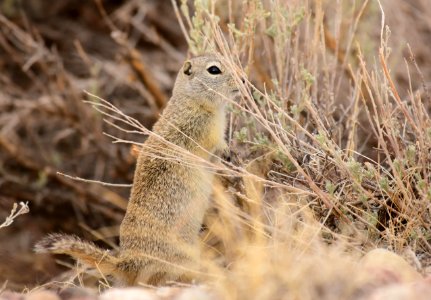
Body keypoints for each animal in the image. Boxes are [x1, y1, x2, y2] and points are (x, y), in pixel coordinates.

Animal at [35, 54, 240, 286]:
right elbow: (214, 147)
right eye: (214, 70)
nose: (242, 80)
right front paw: (228, 152)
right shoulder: (204, 133)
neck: (190, 101)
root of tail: (127, 265)